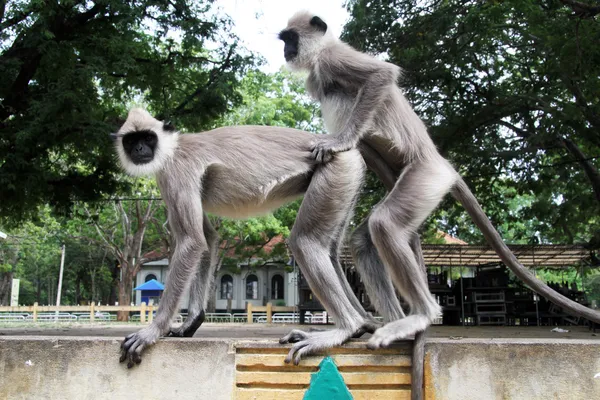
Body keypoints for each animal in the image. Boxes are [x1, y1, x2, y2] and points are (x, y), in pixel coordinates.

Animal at [278, 9, 600, 354]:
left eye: (291, 39)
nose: (286, 51)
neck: (320, 54)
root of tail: (444, 164)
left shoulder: (332, 60)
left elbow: (381, 75)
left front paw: (340, 141)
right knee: (365, 239)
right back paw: (388, 324)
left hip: (427, 176)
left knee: (385, 224)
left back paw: (419, 316)